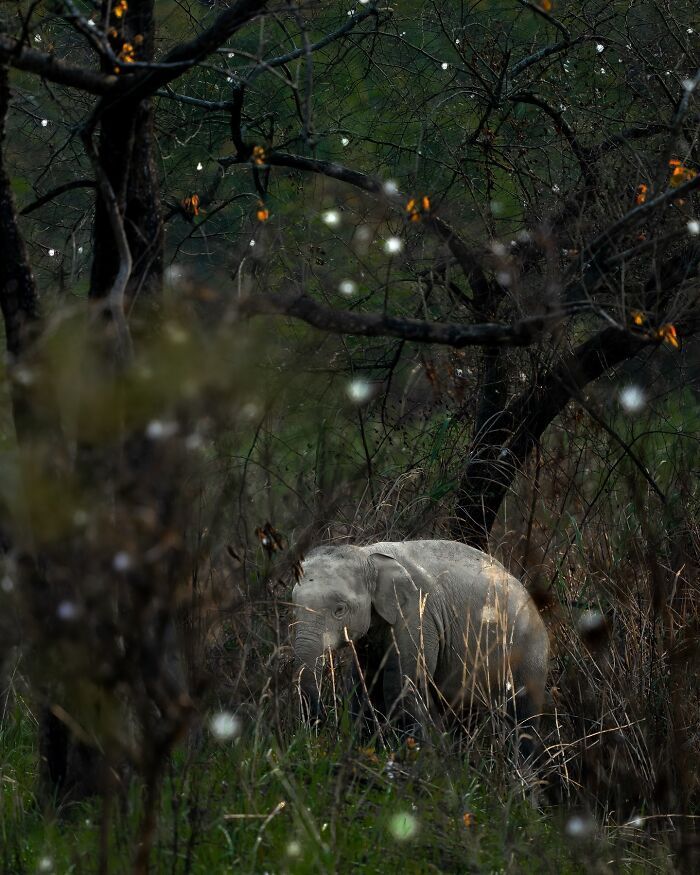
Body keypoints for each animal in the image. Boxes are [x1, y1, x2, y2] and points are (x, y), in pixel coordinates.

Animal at [292, 536, 548, 756]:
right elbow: (363, 683)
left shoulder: (418, 616)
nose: (320, 724)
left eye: (340, 609)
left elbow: (401, 683)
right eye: (292, 603)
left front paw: (412, 756)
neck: (368, 555)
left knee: (523, 720)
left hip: (529, 655)